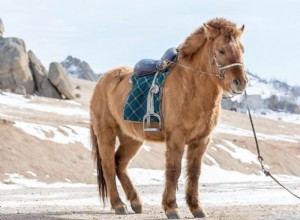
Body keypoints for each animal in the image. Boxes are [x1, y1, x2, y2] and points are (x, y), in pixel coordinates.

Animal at [89, 17, 248, 218]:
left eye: (242, 49)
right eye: (221, 50)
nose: (240, 83)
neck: (191, 87)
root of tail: (102, 81)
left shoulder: (201, 140)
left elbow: (194, 172)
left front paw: (196, 208)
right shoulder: (176, 138)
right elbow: (174, 170)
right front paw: (171, 208)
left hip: (132, 138)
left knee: (120, 164)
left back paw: (135, 202)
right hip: (106, 132)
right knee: (109, 165)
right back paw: (118, 205)